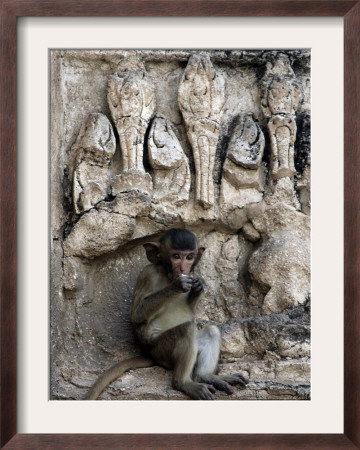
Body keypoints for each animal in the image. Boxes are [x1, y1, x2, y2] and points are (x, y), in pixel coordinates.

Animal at [85, 229, 248, 400]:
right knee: (187, 329)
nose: (183, 269)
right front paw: (177, 285)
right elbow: (136, 315)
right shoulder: (147, 273)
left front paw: (198, 287)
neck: (167, 274)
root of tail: (150, 355)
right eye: (176, 256)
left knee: (211, 331)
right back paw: (183, 383)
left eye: (189, 257)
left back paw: (206, 376)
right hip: (161, 351)